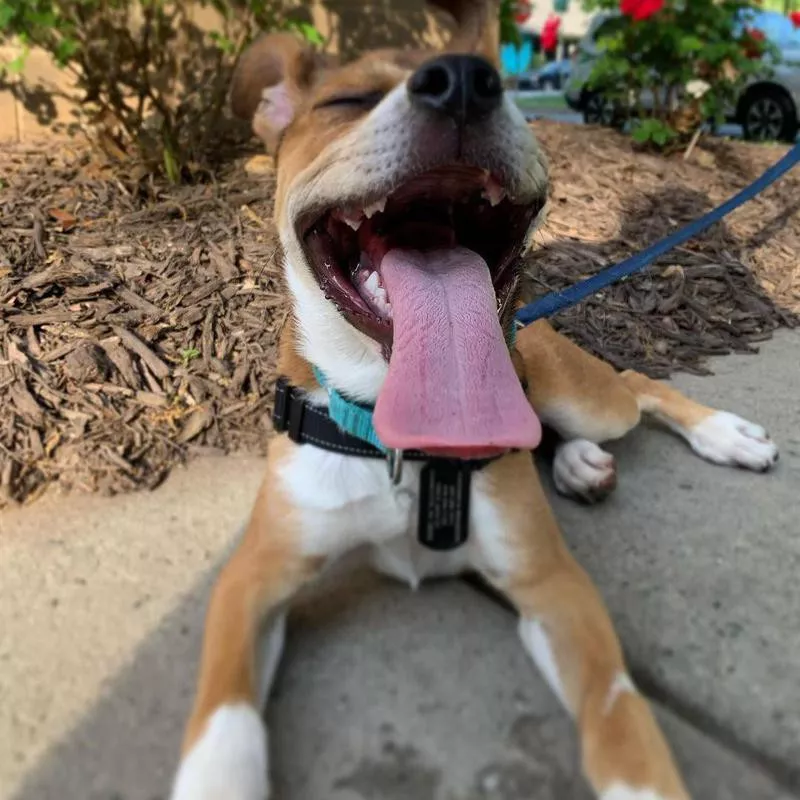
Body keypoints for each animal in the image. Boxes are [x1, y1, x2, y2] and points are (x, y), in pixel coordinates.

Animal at [167, 3, 776, 796]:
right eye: (344, 102)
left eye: (508, 87)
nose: (462, 82)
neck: (402, 438)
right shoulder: (249, 580)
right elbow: (224, 720)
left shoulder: (556, 586)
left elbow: (619, 716)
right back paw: (579, 462)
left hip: (587, 396)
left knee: (639, 388)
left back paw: (722, 435)